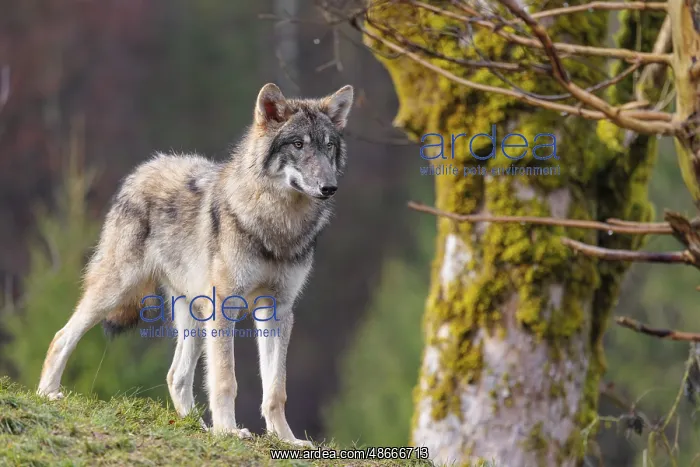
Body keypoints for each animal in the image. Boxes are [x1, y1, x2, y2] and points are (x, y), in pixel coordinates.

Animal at [36, 82, 354, 447]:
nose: (329, 187)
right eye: (299, 144)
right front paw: (229, 431)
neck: (277, 225)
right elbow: (226, 379)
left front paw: (286, 439)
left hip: (196, 314)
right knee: (61, 336)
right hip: (119, 290)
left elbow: (276, 389)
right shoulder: (225, 307)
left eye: (328, 146)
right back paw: (47, 394)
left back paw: (196, 427)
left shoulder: (278, 310)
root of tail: (145, 167)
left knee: (176, 375)